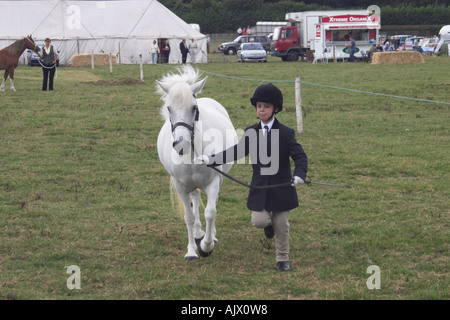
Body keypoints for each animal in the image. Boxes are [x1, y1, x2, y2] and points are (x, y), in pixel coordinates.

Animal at [156, 66, 237, 262]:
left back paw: (210, 235)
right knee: (196, 198)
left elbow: (211, 212)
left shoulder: (214, 181)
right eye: (169, 108)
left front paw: (207, 246)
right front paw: (192, 250)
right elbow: (189, 217)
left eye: (194, 108)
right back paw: (199, 232)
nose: (181, 144)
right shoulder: (180, 186)